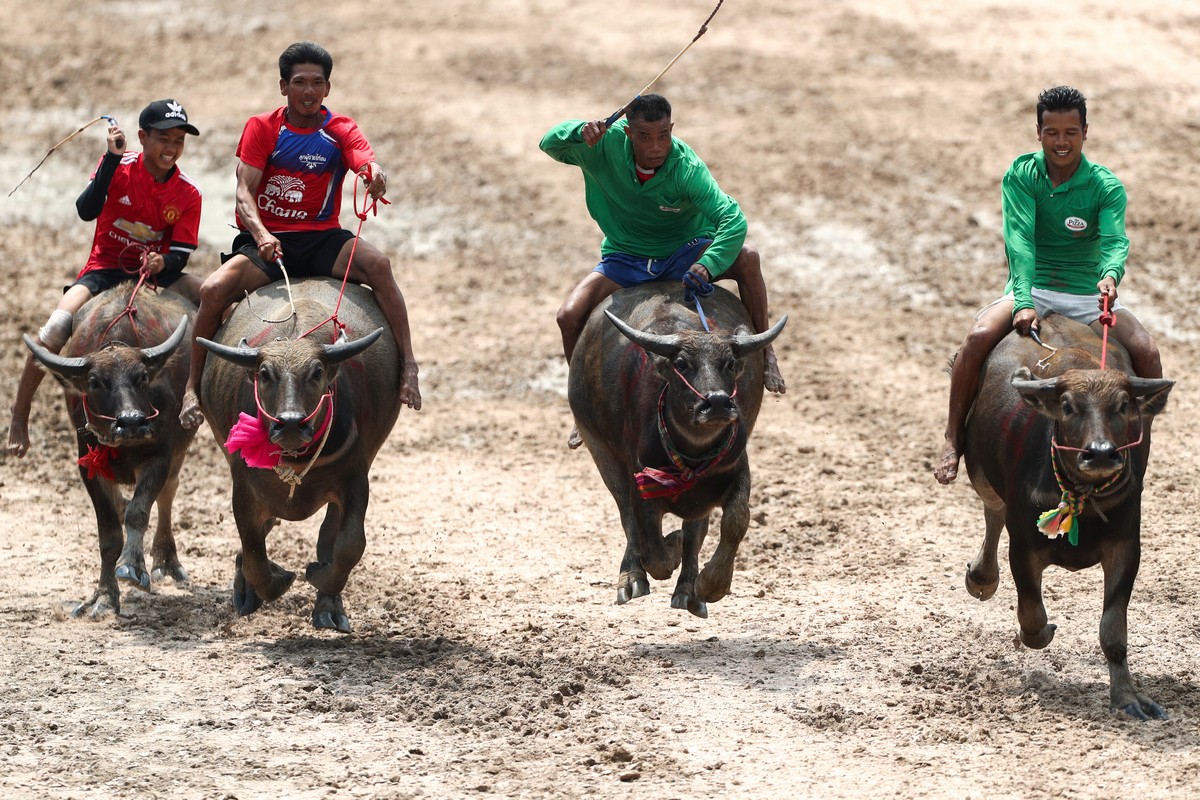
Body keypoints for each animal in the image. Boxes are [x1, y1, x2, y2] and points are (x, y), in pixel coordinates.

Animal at [24, 287, 194, 618]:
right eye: (94, 382)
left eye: (142, 377)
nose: (131, 422)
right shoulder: (89, 468)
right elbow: (109, 535)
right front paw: (104, 596)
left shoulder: (159, 457)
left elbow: (138, 512)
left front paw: (133, 567)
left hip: (180, 451)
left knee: (168, 493)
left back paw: (166, 561)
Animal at [195, 275, 403, 633]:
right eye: (265, 374)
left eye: (317, 372)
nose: (291, 423)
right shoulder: (244, 489)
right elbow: (254, 552)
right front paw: (274, 580)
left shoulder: (356, 479)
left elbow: (349, 545)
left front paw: (319, 574)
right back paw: (246, 593)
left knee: (329, 536)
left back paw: (328, 606)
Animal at [568, 283, 787, 618]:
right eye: (682, 364)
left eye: (730, 363)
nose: (717, 403)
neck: (692, 453)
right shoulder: (641, 481)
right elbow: (653, 550)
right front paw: (669, 550)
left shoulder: (738, 470)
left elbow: (736, 520)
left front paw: (711, 585)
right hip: (600, 449)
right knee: (626, 516)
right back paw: (631, 578)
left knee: (696, 528)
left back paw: (688, 591)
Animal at [964, 311, 1171, 719]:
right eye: (1068, 406)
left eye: (1123, 405)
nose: (1101, 453)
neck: (1083, 500)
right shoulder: (1023, 547)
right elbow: (1031, 614)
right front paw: (1039, 633)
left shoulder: (1126, 547)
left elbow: (1113, 631)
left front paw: (1128, 698)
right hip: (978, 470)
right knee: (993, 510)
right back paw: (981, 577)